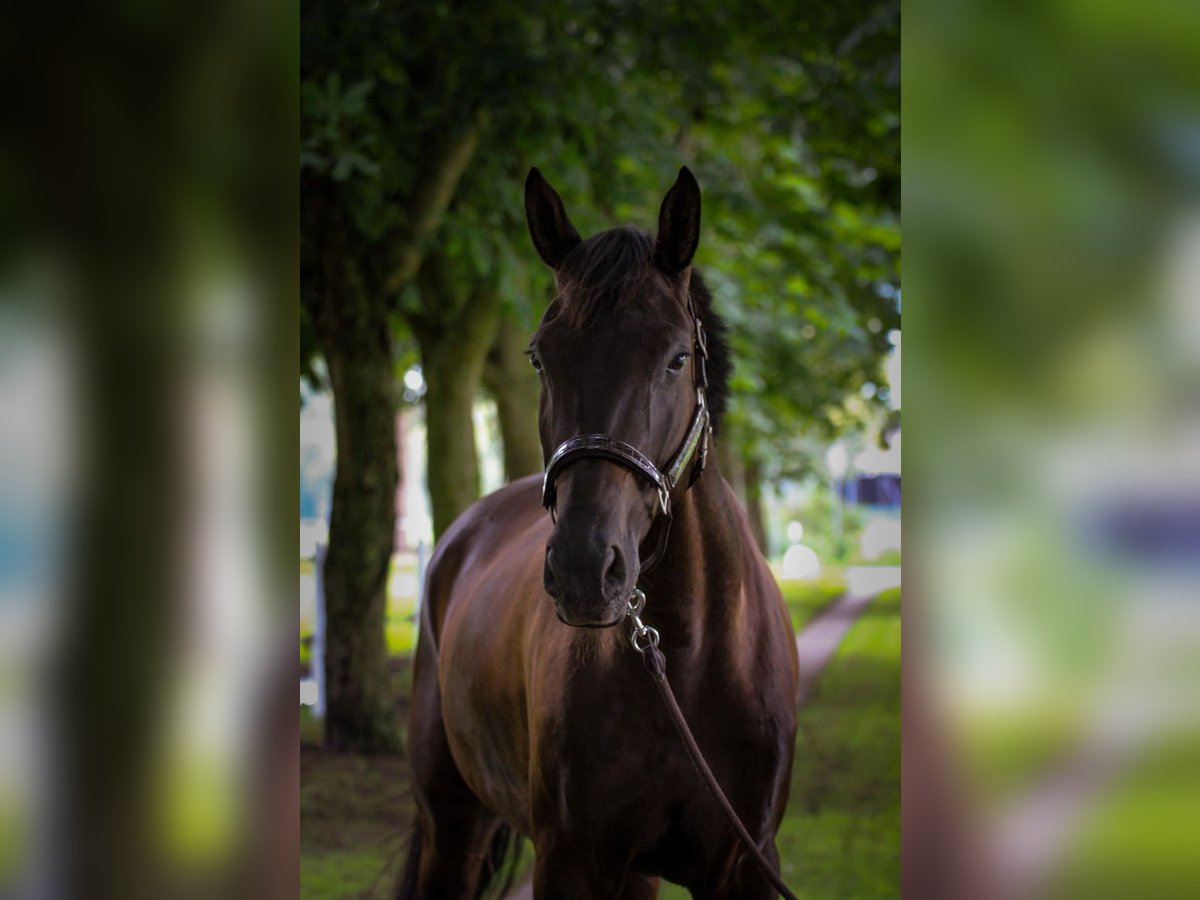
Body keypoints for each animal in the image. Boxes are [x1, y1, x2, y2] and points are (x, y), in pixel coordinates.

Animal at [398, 168, 801, 897]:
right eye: (539, 358)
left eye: (676, 358)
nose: (586, 570)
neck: (683, 659)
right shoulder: (571, 861)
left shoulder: (745, 863)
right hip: (452, 828)